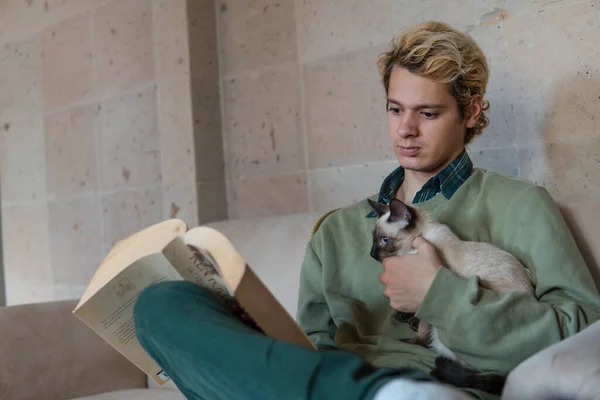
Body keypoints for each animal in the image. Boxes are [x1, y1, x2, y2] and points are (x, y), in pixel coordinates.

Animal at [366, 198, 536, 394]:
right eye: (374, 239)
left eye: (384, 240)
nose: (372, 254)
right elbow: (416, 314)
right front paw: (406, 316)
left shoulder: (423, 295)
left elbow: (423, 329)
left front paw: (413, 331)